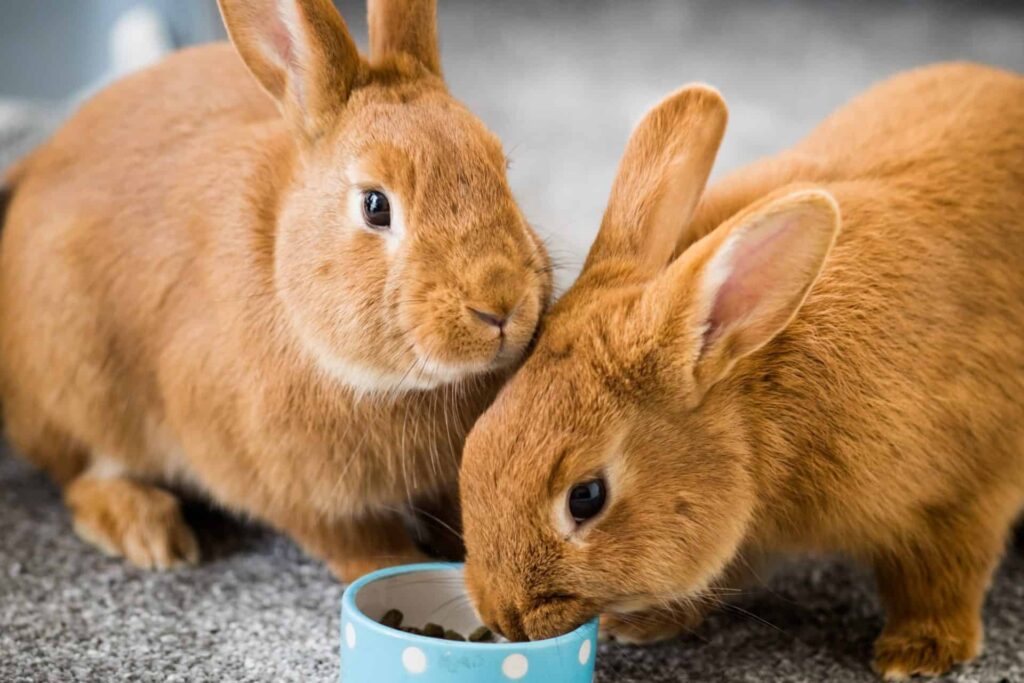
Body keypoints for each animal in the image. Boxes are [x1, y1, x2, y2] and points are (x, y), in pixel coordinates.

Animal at [0, 0, 551, 583]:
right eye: (375, 206)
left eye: (502, 171)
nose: (501, 304)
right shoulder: (299, 491)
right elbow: (357, 538)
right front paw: (397, 566)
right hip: (81, 384)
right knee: (82, 474)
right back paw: (147, 533)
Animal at [460, 62, 1024, 679]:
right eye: (476, 439)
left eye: (586, 497)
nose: (503, 615)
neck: (754, 414)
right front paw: (643, 625)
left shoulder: (962, 492)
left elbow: (944, 574)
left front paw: (919, 653)